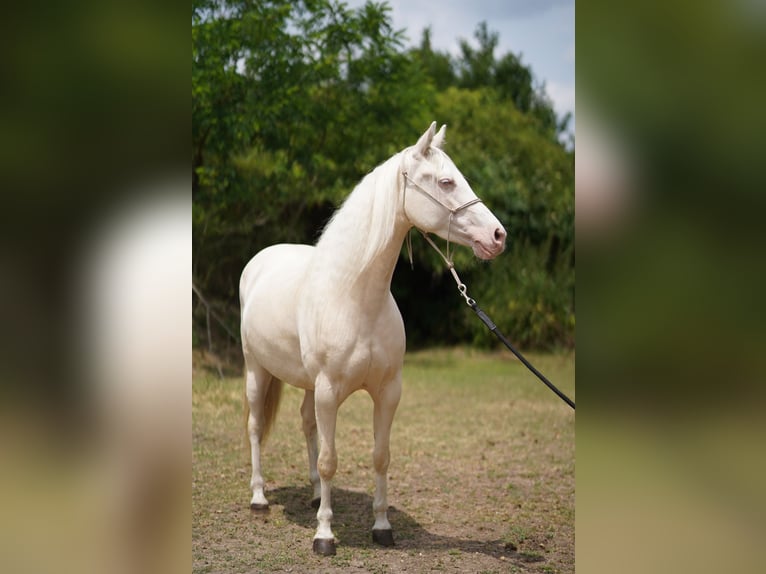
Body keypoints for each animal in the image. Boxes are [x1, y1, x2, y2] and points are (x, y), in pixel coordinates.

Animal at [239, 122, 506, 556]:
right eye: (446, 182)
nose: (498, 236)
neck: (355, 297)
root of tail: (260, 260)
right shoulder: (329, 391)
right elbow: (330, 459)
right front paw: (324, 535)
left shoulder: (387, 392)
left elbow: (380, 456)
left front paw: (381, 527)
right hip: (256, 370)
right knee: (255, 426)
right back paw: (259, 498)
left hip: (307, 385)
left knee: (306, 424)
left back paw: (316, 494)